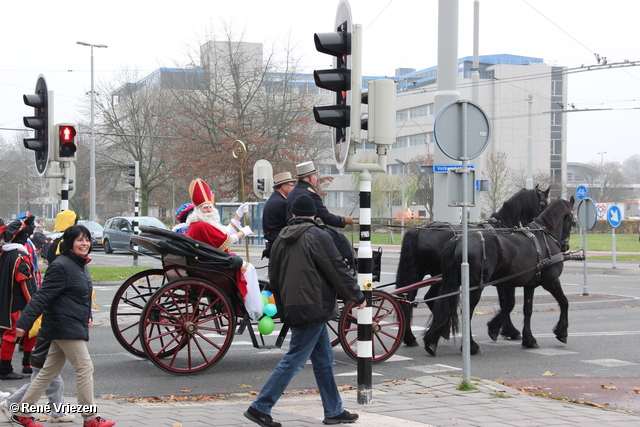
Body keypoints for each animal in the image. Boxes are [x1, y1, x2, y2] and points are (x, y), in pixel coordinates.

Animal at [396, 186, 552, 346]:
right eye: (544, 204)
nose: (544, 226)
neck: (501, 226)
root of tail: (418, 230)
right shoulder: (505, 279)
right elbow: (508, 303)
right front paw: (509, 330)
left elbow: (505, 303)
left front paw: (506, 330)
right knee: (423, 298)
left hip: (422, 273)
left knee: (409, 298)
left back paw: (415, 335)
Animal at [422, 197, 576, 358]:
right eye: (573, 221)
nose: (565, 246)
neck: (542, 237)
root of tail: (458, 240)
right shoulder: (551, 281)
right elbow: (564, 302)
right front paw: (561, 332)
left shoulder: (528, 285)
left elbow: (526, 309)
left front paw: (527, 339)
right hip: (474, 287)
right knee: (466, 311)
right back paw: (470, 346)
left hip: (451, 282)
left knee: (442, 305)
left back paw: (432, 341)